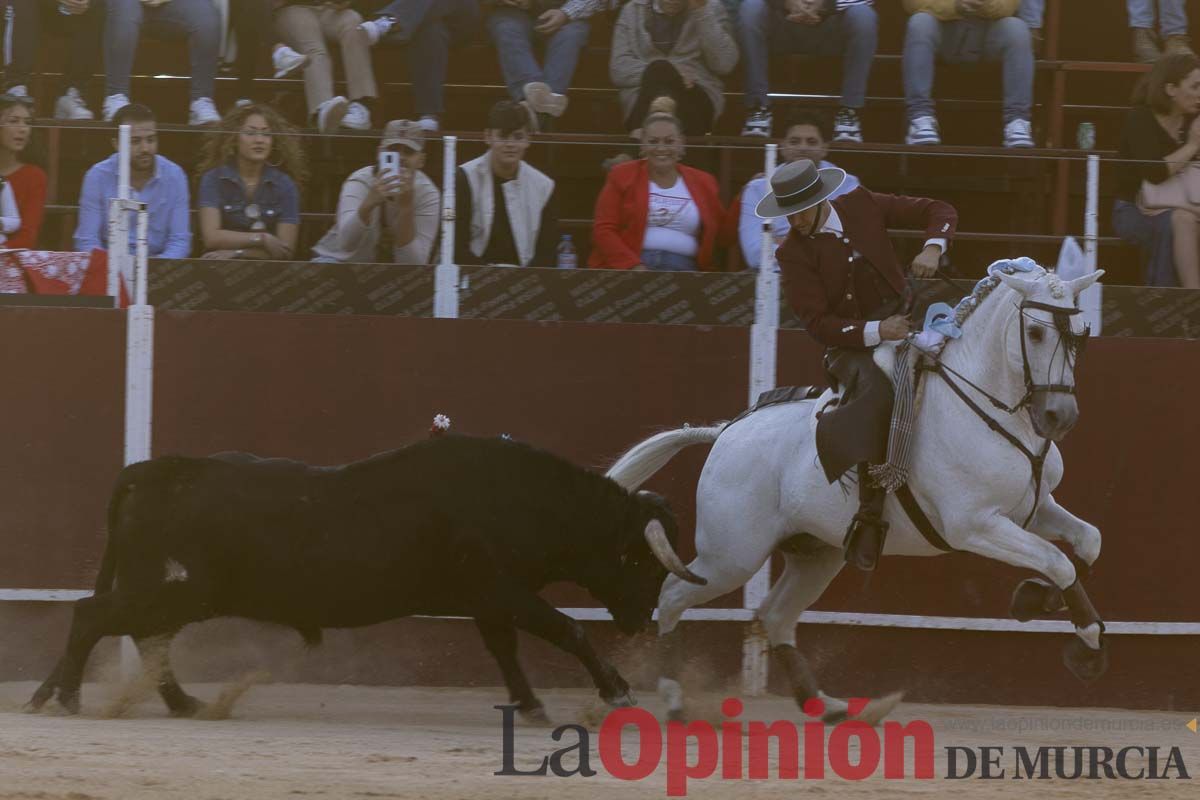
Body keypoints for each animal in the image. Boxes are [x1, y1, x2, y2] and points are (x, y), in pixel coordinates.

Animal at [25, 438, 700, 719]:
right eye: (642, 560)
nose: (641, 620)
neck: (520, 496)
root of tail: (149, 470)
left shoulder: (486, 598)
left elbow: (505, 650)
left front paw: (530, 703)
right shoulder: (502, 589)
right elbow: (565, 630)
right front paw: (617, 690)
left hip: (177, 593)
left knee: (143, 636)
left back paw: (183, 703)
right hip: (175, 589)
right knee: (95, 617)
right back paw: (66, 698)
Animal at [609, 266, 1104, 724]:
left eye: (1080, 334)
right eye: (1035, 332)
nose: (1060, 416)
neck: (986, 409)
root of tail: (725, 432)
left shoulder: (1033, 510)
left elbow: (1086, 544)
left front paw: (1041, 602)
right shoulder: (974, 525)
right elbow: (1057, 560)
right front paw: (1087, 644)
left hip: (816, 555)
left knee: (776, 615)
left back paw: (826, 705)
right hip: (730, 556)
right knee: (673, 594)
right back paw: (675, 699)